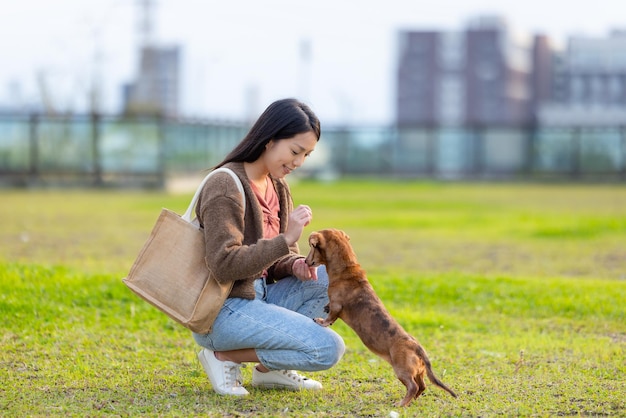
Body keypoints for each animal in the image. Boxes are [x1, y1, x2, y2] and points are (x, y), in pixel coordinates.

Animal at [304, 230, 456, 406]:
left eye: (312, 246)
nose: (305, 261)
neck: (346, 269)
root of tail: (417, 347)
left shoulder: (337, 305)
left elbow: (330, 317)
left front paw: (321, 321)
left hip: (402, 370)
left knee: (413, 387)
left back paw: (401, 404)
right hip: (419, 371)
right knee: (422, 386)